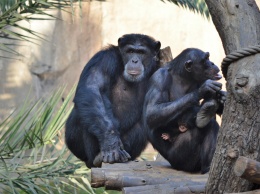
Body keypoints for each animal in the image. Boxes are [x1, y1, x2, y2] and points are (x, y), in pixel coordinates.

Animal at [65, 33, 160, 168]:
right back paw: (98, 157)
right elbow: (92, 88)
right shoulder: (104, 59)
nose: (134, 60)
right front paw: (110, 143)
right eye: (130, 51)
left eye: (141, 52)